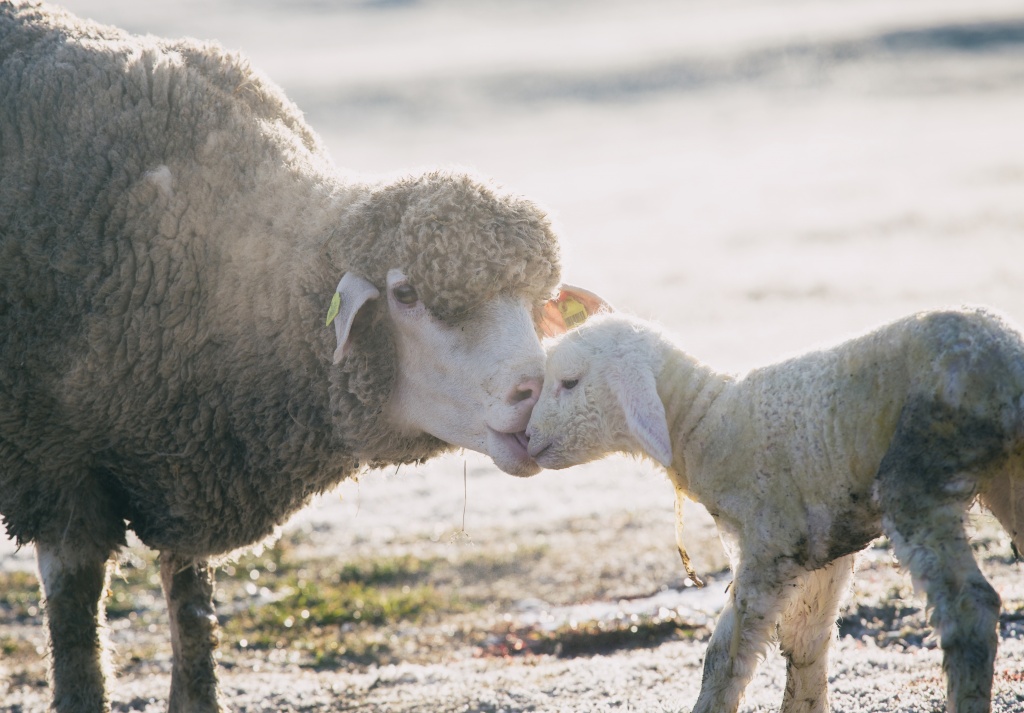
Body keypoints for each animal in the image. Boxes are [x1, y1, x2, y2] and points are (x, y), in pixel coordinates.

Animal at [0, 5, 598, 713]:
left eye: (538, 303)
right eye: (406, 295)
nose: (534, 392)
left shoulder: (189, 455)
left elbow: (193, 616)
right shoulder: (54, 469)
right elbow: (77, 642)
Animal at [524, 309, 1024, 713]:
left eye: (569, 382)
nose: (527, 438)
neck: (705, 421)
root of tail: (1005, 358)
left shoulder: (768, 545)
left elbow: (723, 657)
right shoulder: (825, 544)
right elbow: (805, 642)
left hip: (920, 470)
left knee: (970, 608)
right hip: (1005, 478)